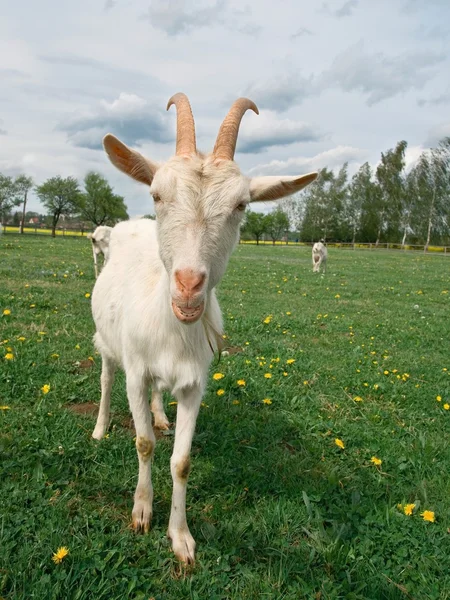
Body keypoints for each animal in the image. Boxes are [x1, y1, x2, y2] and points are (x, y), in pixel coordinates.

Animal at [90, 92, 316, 564]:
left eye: (241, 206)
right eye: (156, 194)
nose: (189, 286)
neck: (173, 328)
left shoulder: (195, 382)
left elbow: (181, 461)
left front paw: (181, 539)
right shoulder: (136, 372)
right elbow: (143, 444)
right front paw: (142, 512)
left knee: (158, 396)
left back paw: (161, 416)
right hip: (107, 342)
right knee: (105, 378)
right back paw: (100, 428)